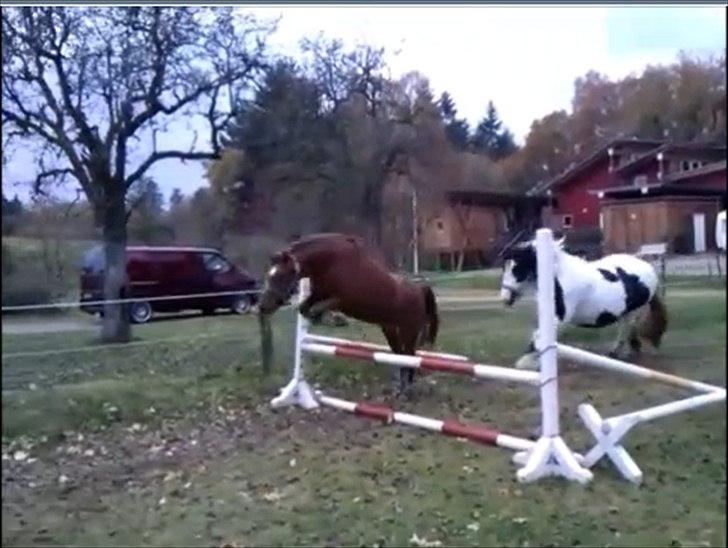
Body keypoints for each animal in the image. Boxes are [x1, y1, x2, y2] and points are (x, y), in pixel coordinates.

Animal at [258, 231, 438, 394]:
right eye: (269, 276)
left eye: (281, 276)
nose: (263, 306)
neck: (330, 263)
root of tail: (420, 289)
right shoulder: (317, 295)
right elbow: (303, 308)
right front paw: (317, 320)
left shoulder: (342, 301)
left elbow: (317, 308)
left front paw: (324, 318)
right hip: (390, 329)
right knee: (400, 355)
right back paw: (400, 388)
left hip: (409, 331)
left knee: (410, 356)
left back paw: (407, 390)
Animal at [500, 239, 664, 370]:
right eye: (504, 267)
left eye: (516, 269)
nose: (505, 298)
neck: (558, 278)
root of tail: (649, 267)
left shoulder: (560, 319)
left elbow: (537, 338)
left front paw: (526, 363)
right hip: (627, 313)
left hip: (634, 312)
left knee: (627, 329)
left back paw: (618, 352)